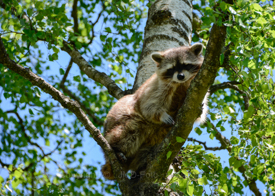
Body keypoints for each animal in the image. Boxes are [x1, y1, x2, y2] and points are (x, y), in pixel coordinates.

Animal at [101, 43, 207, 180]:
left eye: (186, 65)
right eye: (172, 69)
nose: (181, 76)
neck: (180, 83)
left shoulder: (198, 89)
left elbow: (198, 111)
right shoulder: (156, 87)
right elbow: (148, 107)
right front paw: (161, 115)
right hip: (124, 121)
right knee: (130, 129)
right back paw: (116, 149)